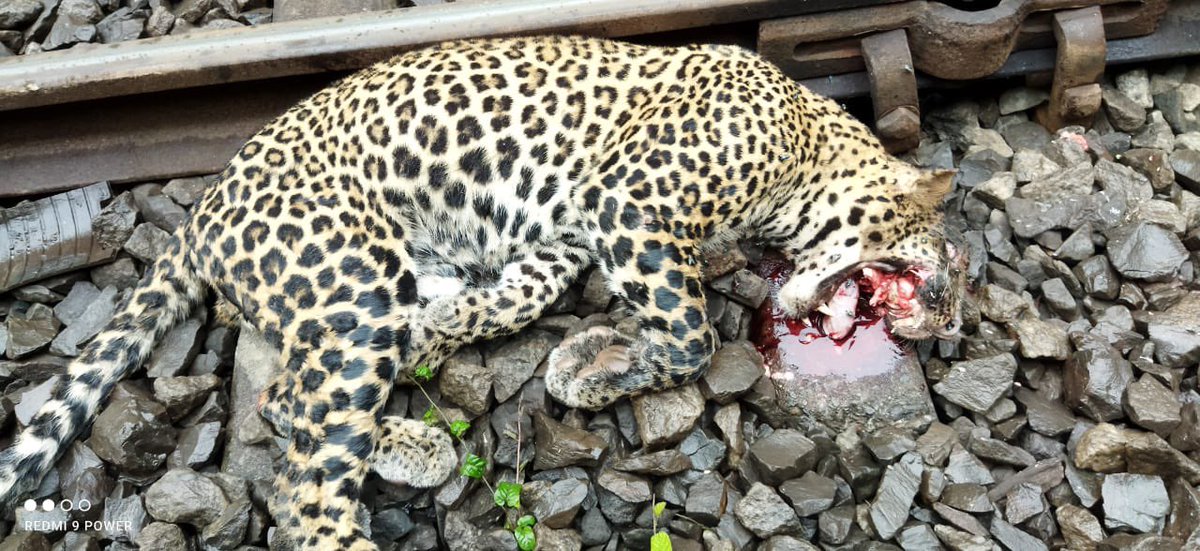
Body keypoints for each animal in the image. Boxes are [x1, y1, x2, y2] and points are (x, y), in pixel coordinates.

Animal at [0, 35, 965, 550]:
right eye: (952, 272)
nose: (951, 328)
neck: (808, 144)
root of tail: (197, 215)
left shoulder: (573, 230)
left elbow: (521, 295)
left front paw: (576, 362)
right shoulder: (630, 201)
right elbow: (691, 330)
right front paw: (612, 364)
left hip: (369, 285)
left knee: (289, 402)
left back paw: (415, 434)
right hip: (351, 281)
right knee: (306, 474)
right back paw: (403, 464)